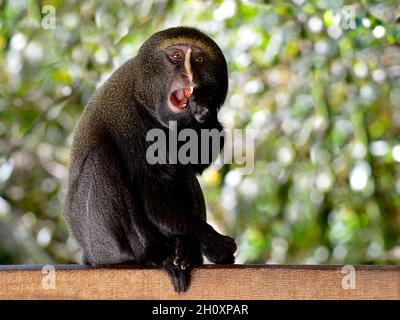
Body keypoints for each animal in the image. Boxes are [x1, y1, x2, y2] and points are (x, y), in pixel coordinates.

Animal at [64, 27, 236, 292]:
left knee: (182, 173)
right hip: (100, 243)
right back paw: (153, 256)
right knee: (102, 158)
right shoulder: (128, 118)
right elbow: (151, 193)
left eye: (198, 59)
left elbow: (194, 164)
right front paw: (214, 243)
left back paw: (186, 251)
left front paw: (204, 111)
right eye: (176, 56)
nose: (188, 74)